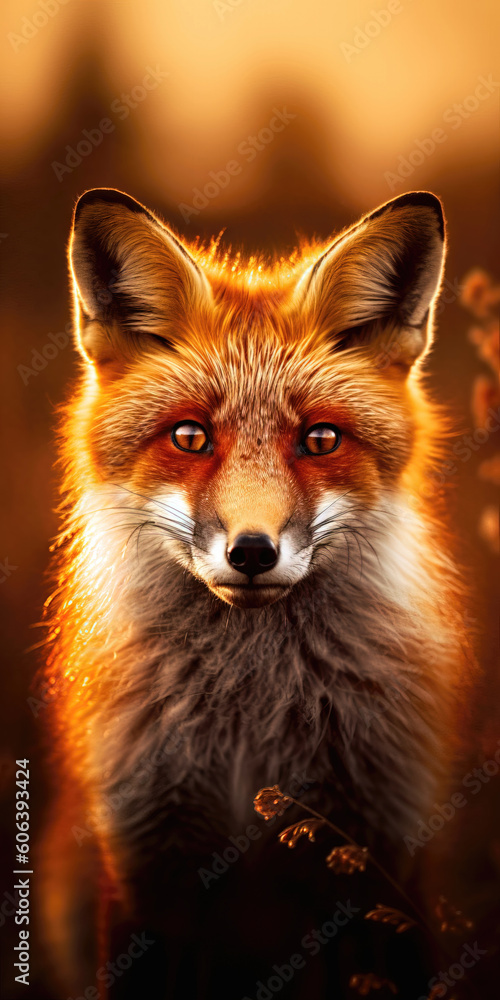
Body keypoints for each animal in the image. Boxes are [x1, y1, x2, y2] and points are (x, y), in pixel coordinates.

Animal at [40, 187, 471, 999]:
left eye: (321, 440)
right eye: (190, 437)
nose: (251, 551)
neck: (252, 723)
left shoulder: (377, 853)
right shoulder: (148, 860)